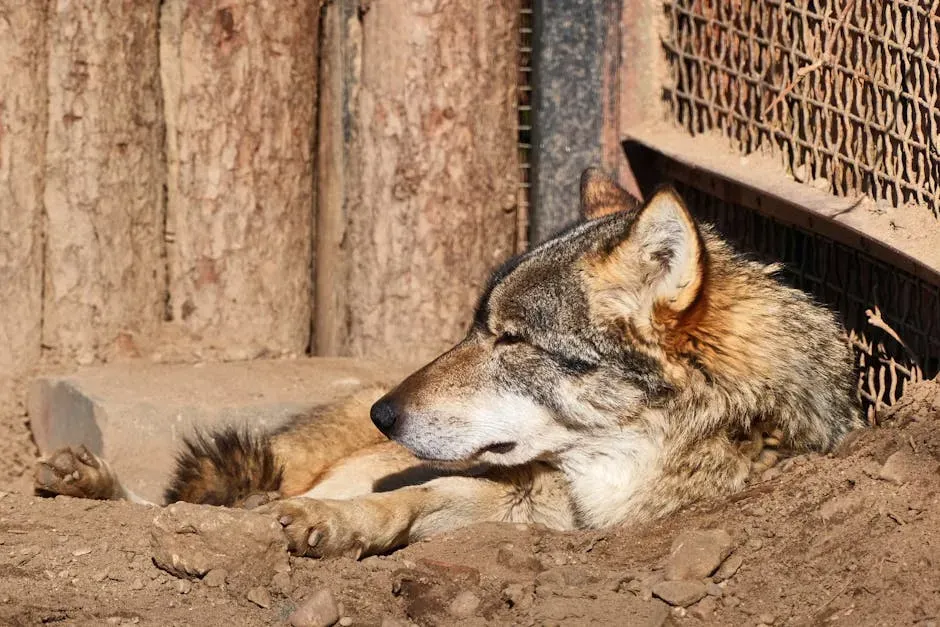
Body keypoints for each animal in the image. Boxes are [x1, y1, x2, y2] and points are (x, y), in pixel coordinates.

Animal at [34, 169, 862, 559]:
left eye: (512, 339)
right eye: (473, 326)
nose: (386, 414)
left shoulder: (533, 516)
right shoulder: (506, 495)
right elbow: (415, 495)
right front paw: (338, 525)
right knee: (195, 503)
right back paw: (88, 483)